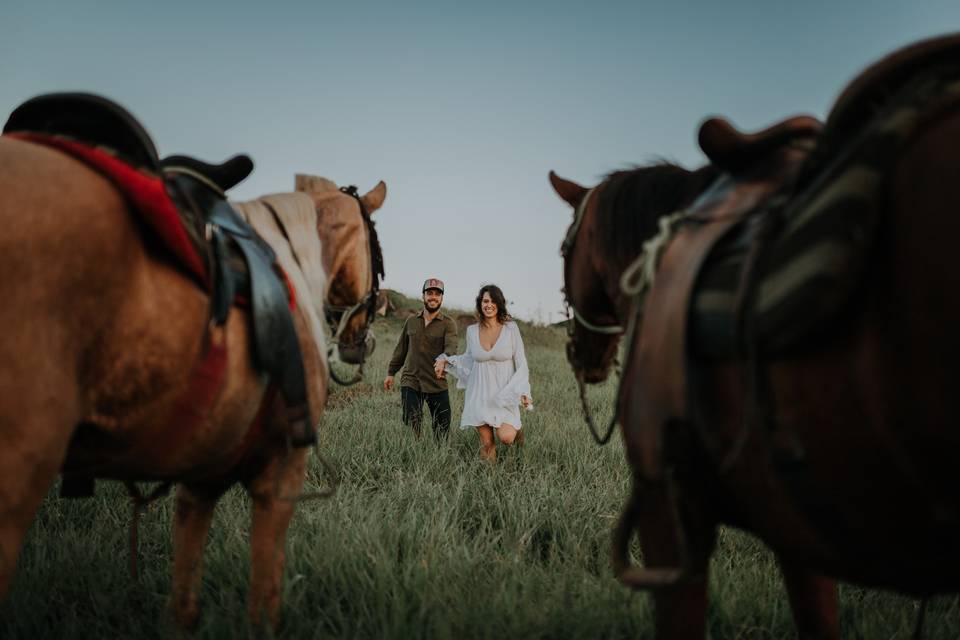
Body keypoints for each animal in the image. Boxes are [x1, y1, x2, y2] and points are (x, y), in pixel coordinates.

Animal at [0, 127, 390, 628]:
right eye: (377, 247)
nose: (362, 341)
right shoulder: (280, 476)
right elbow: (263, 602)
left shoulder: (200, 480)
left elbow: (183, 605)